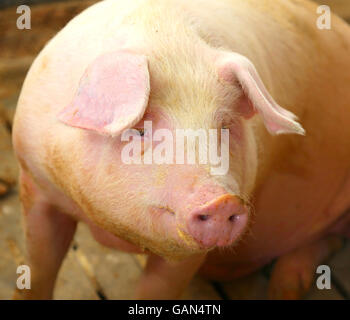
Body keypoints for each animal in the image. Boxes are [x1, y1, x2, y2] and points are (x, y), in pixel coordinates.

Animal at [11, 0, 350, 300]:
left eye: (224, 126)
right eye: (139, 129)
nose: (221, 201)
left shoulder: (187, 251)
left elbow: (156, 290)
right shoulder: (34, 180)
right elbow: (39, 267)